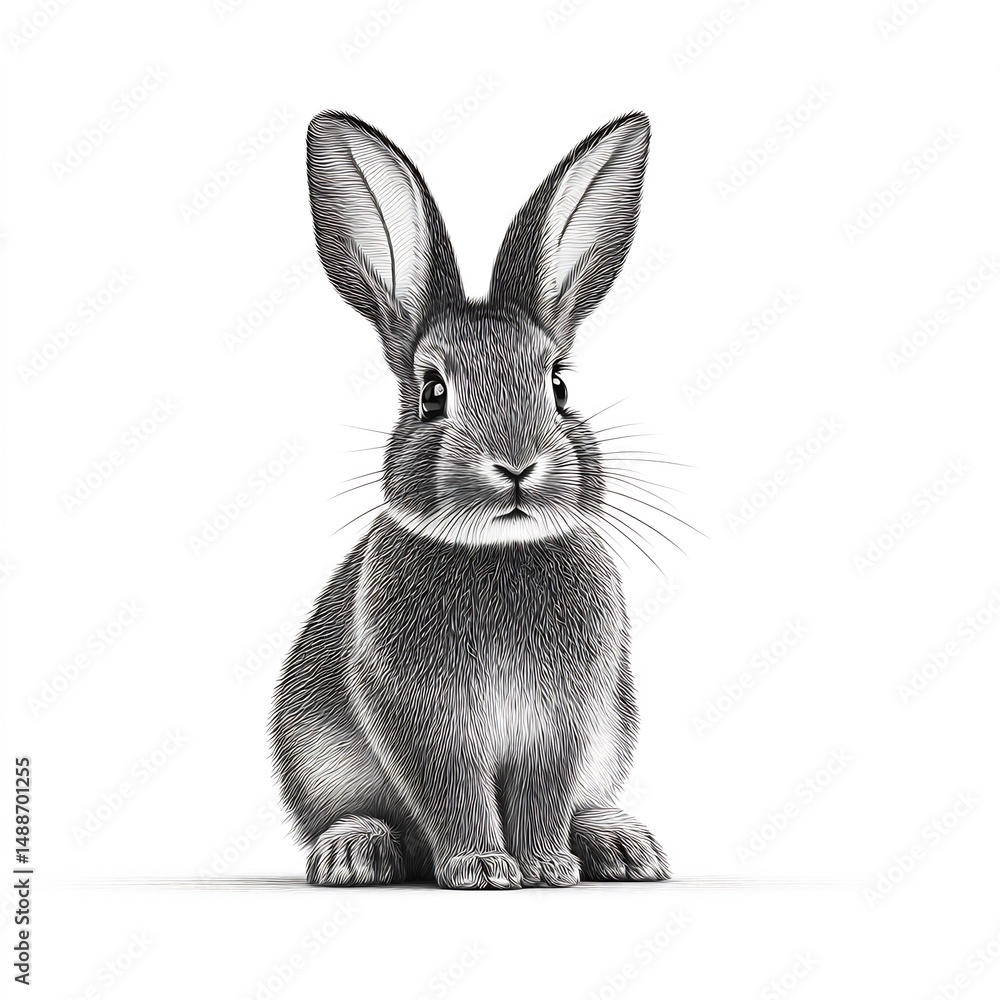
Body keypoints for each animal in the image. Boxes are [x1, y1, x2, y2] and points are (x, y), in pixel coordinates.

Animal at [270, 109, 670, 889]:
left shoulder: (565, 724)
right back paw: (354, 852)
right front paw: (481, 867)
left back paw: (620, 846)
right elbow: (450, 790)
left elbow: (546, 793)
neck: (498, 549)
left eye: (558, 385)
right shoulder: (421, 720)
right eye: (432, 393)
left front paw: (546, 868)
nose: (516, 466)